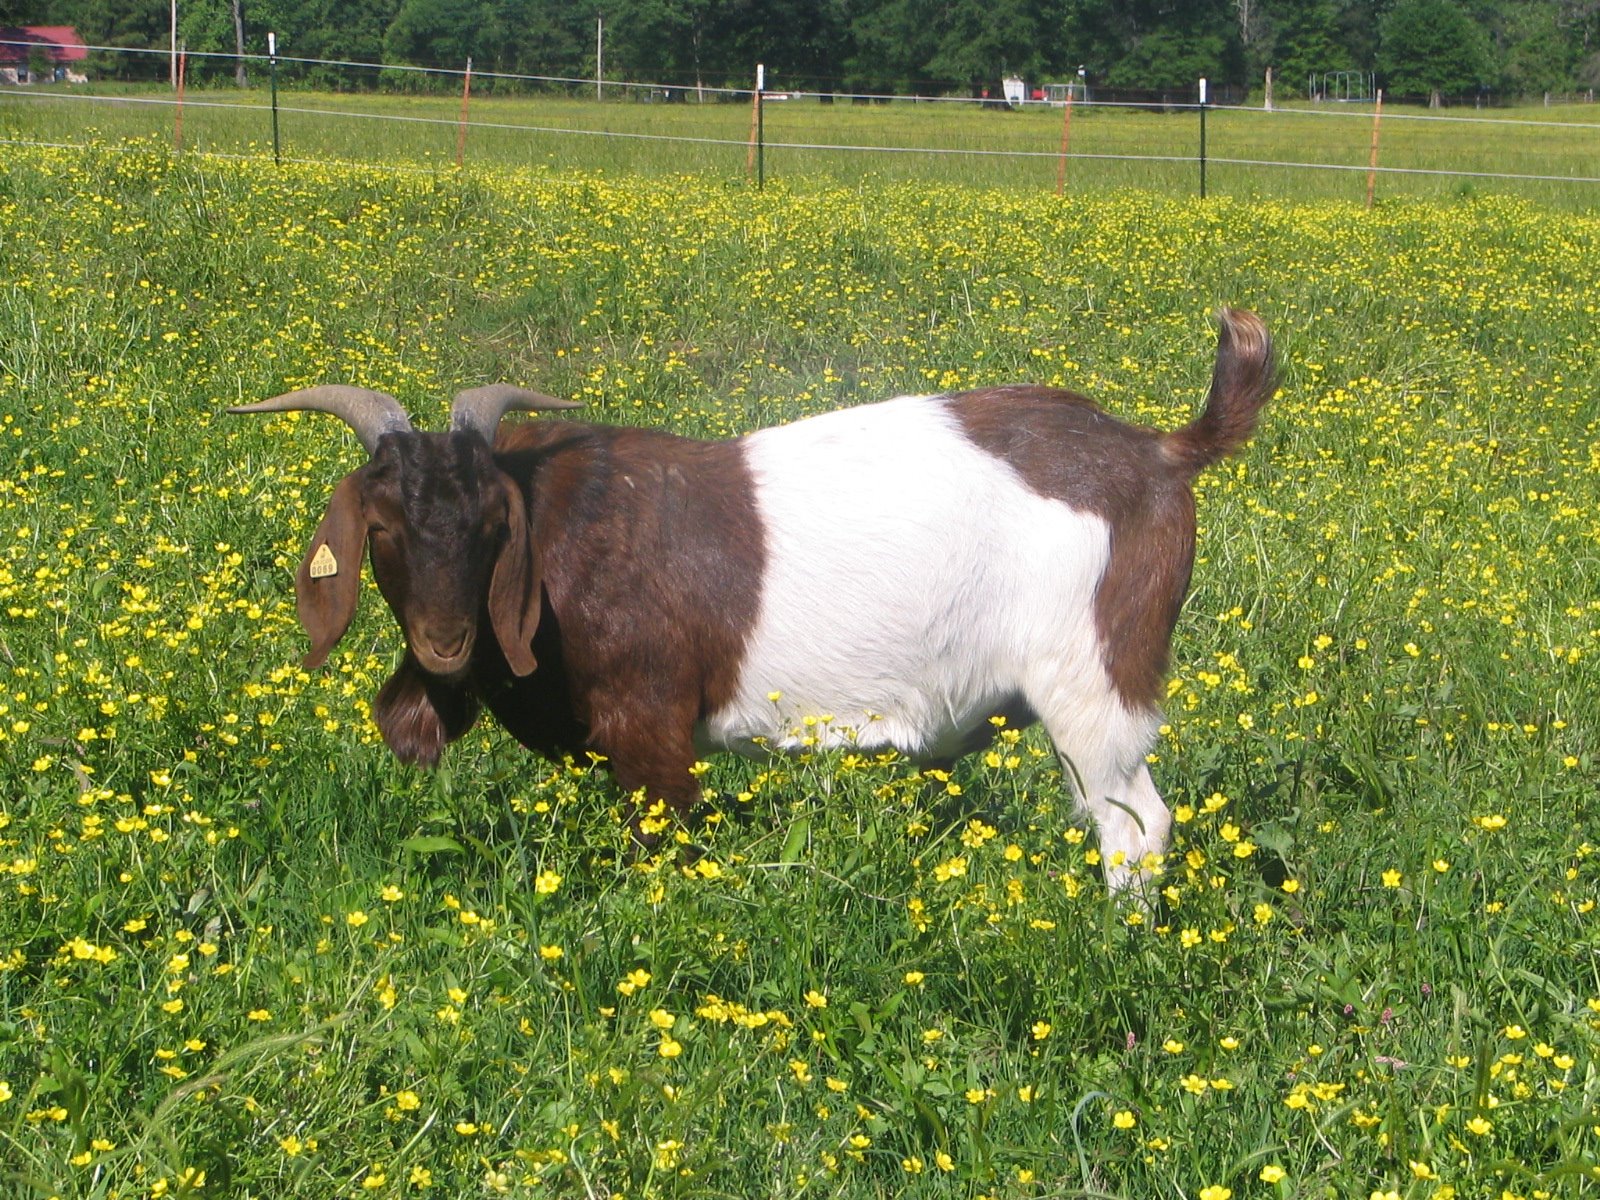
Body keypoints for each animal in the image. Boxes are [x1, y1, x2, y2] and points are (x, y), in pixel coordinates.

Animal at [229, 308, 1274, 890]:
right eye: (384, 528)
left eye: (492, 525)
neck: (562, 530)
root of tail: (1162, 451)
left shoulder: (649, 726)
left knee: (1136, 824)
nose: (444, 644)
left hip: (1095, 681)